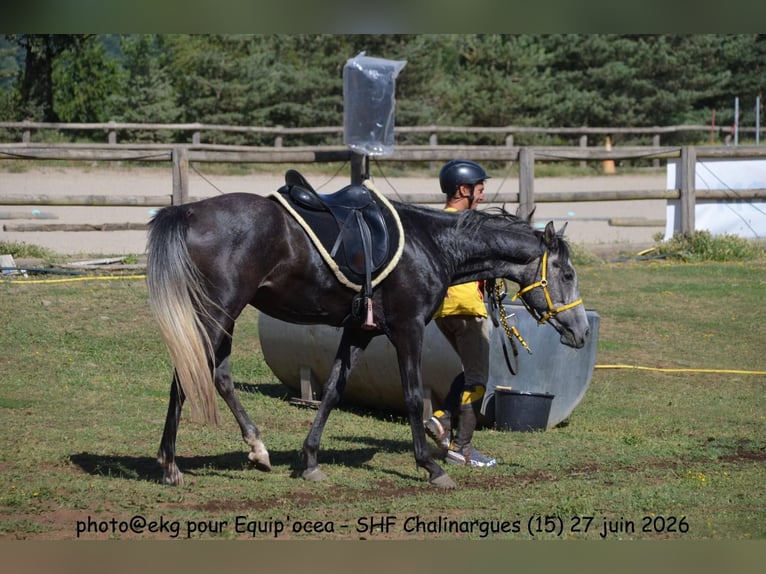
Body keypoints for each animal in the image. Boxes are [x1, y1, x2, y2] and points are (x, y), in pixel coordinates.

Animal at [145, 173, 590, 489]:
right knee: (188, 375)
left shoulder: (359, 331)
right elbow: (413, 396)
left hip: (225, 315)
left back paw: (257, 449)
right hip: (216, 312)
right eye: (567, 274)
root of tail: (189, 213)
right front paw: (431, 467)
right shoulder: (407, 328)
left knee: (218, 376)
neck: (432, 243)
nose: (582, 332)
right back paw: (170, 465)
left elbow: (332, 391)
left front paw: (310, 460)